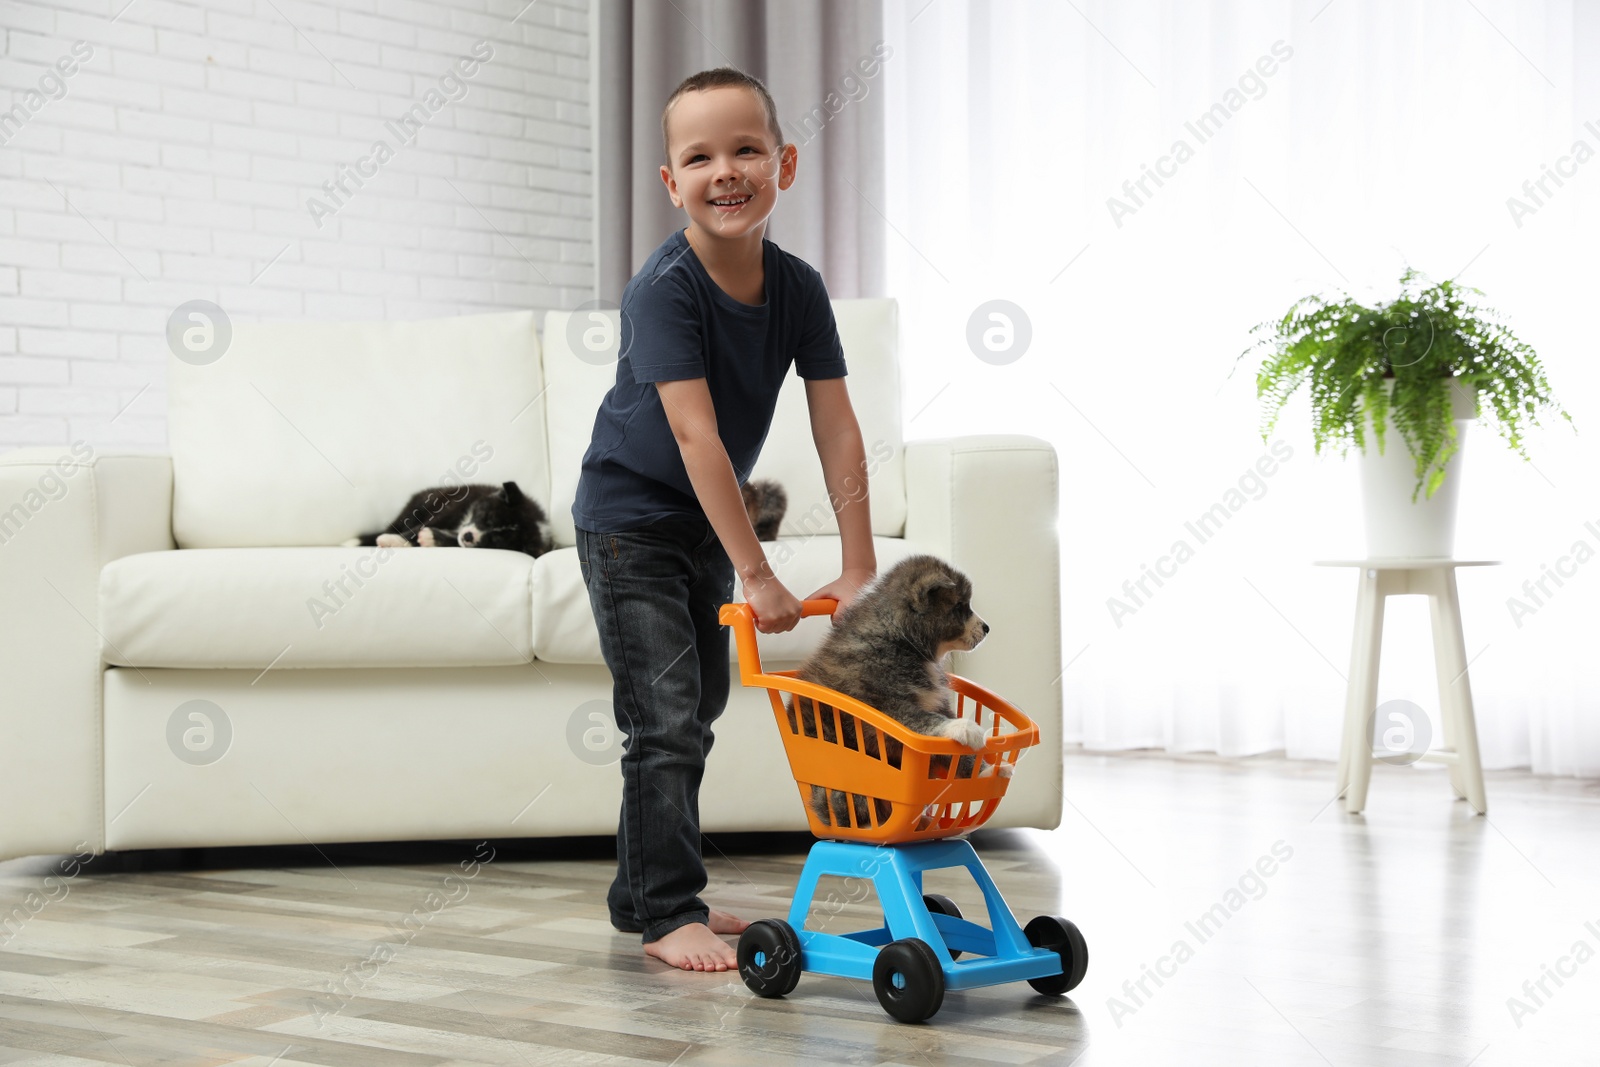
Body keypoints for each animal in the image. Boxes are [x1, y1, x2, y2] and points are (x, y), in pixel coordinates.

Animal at [787, 556, 1011, 831]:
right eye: (960, 606)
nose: (987, 628)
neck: (901, 640)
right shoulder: (881, 711)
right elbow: (920, 718)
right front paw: (963, 727)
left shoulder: (935, 702)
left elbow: (956, 755)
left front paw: (986, 771)